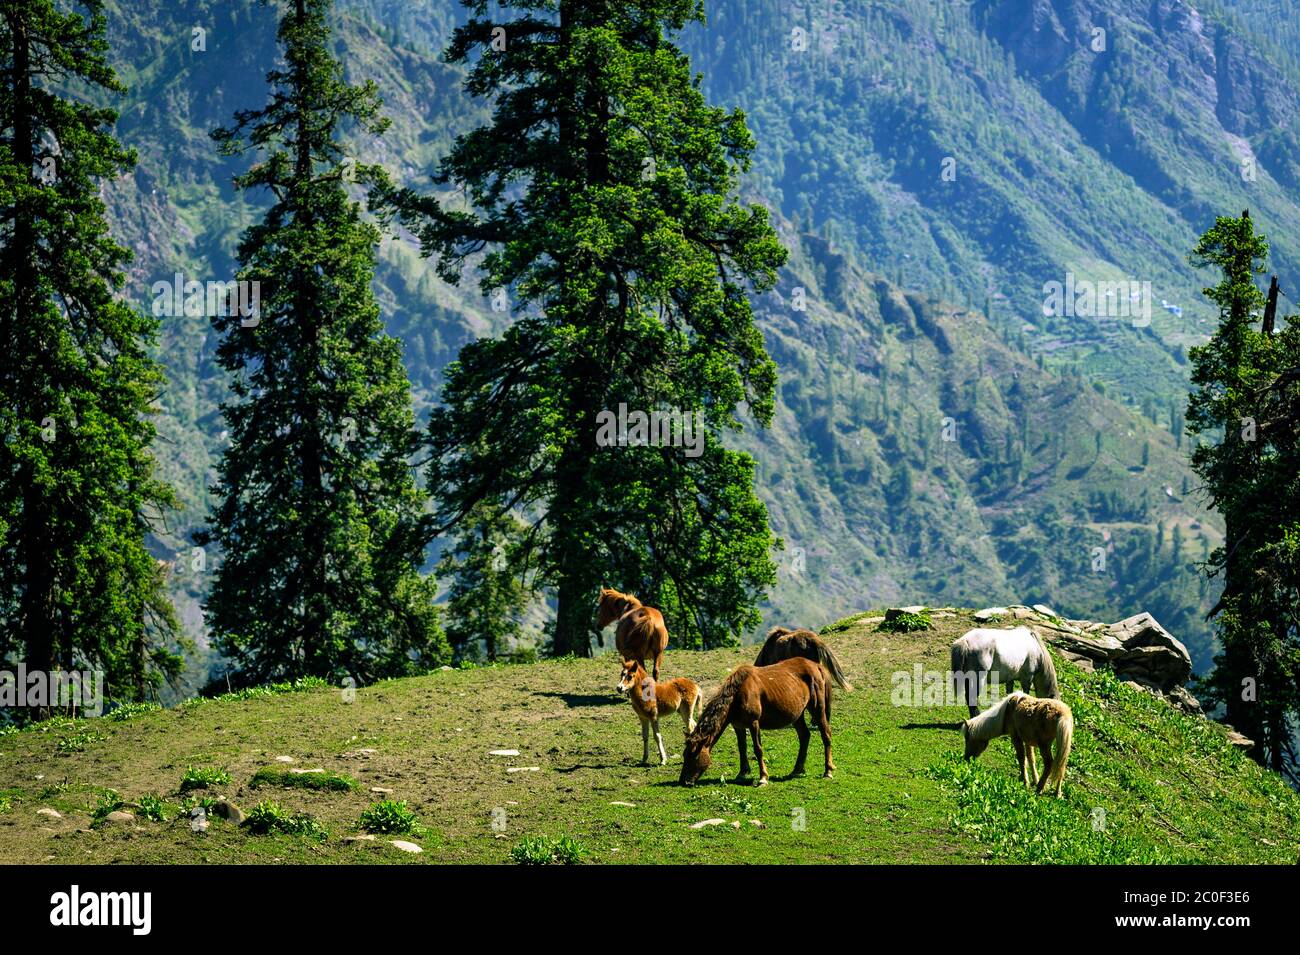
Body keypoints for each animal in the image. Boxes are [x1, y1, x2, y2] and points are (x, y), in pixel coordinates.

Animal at [681, 660, 832, 789]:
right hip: (797, 715)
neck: (737, 695)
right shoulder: (738, 725)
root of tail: (816, 666)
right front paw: (742, 773)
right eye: (684, 755)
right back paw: (797, 770)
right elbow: (742, 748)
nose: (684, 781)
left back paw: (828, 771)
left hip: (817, 708)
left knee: (826, 735)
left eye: (694, 756)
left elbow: (758, 749)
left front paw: (763, 778)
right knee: (805, 735)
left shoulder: (753, 723)